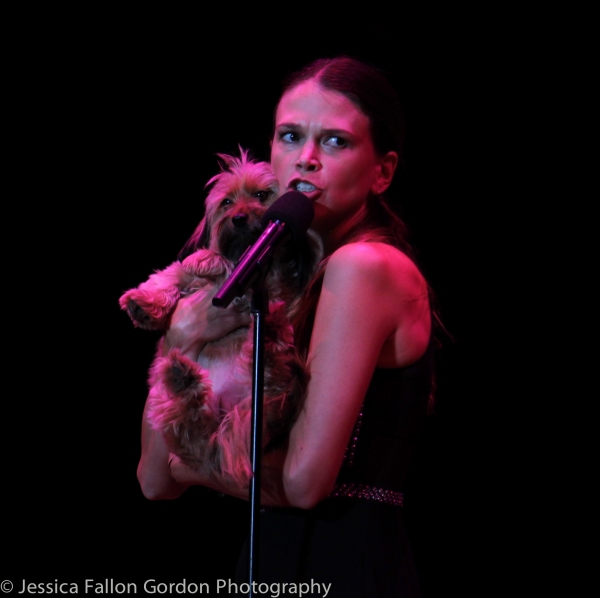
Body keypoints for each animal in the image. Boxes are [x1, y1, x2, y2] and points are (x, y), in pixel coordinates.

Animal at [119, 149, 322, 488]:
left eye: (261, 195)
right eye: (227, 202)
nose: (238, 218)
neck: (245, 251)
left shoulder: (270, 285)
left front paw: (212, 261)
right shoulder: (192, 278)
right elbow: (172, 273)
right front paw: (143, 302)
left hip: (262, 404)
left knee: (259, 399)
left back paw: (270, 338)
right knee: (190, 428)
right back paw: (183, 379)